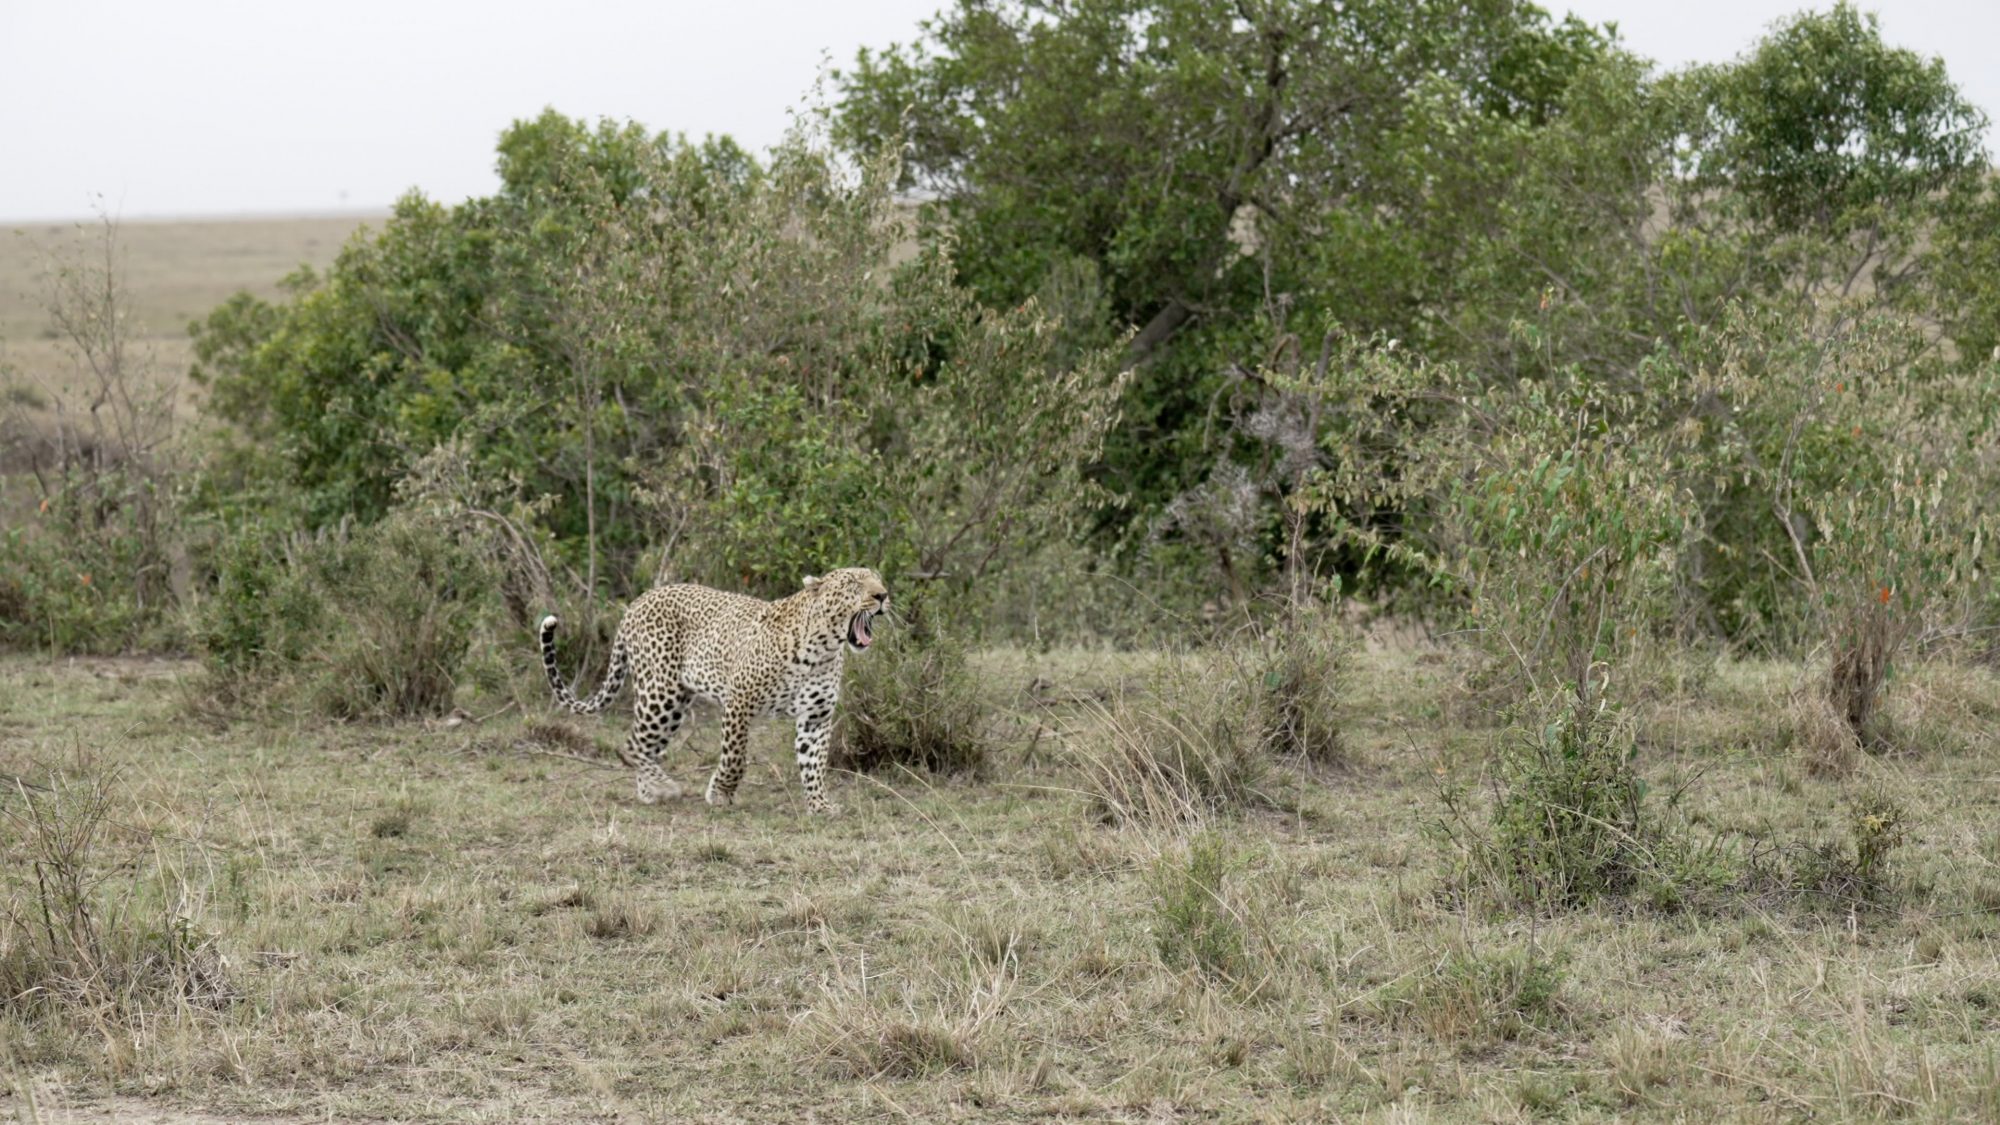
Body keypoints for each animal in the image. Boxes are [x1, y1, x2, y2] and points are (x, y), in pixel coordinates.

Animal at [544, 564, 896, 808]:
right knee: (630, 746)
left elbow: (814, 764)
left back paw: (650, 791)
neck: (822, 649)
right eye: (853, 584)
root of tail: (637, 602)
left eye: (877, 579)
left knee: (645, 746)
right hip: (661, 692)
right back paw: (663, 786)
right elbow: (735, 755)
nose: (882, 595)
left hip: (675, 702)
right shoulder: (739, 700)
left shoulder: (816, 717)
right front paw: (720, 793)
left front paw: (820, 805)